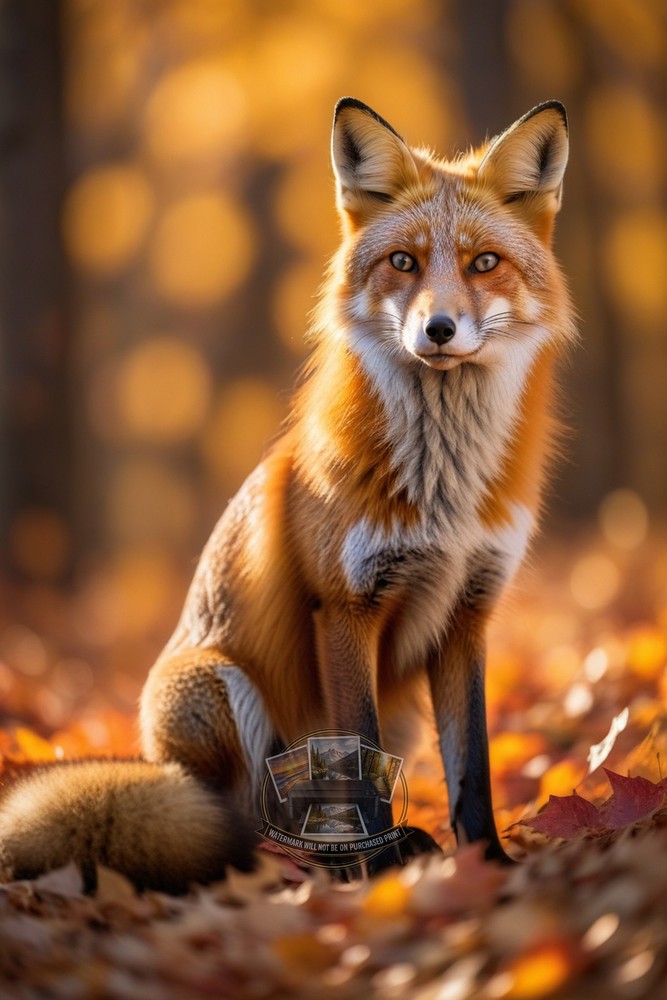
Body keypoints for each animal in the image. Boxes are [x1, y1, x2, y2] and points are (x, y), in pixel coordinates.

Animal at [0, 97, 575, 892]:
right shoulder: (343, 607)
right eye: (403, 261)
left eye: (483, 262)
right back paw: (307, 865)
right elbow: (361, 761)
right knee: (246, 824)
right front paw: (380, 871)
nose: (438, 329)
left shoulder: (467, 614)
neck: (443, 494)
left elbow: (473, 770)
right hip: (219, 688)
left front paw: (486, 863)